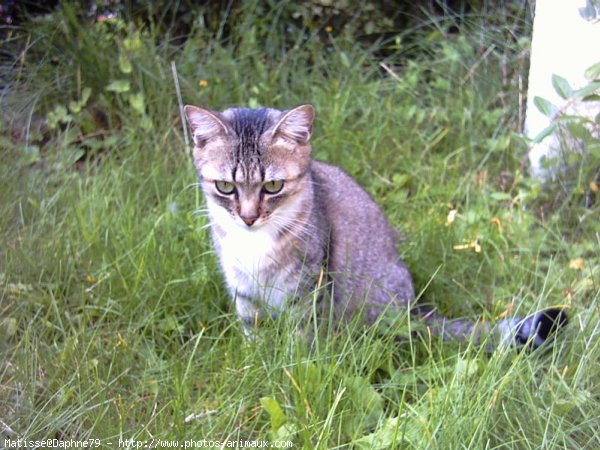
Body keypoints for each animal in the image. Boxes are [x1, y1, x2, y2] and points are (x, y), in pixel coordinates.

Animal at [184, 103, 568, 348]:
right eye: (226, 187)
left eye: (273, 186)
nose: (248, 217)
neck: (255, 242)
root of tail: (415, 311)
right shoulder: (243, 289)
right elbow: (252, 329)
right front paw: (256, 359)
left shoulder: (308, 289)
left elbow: (301, 339)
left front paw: (290, 366)